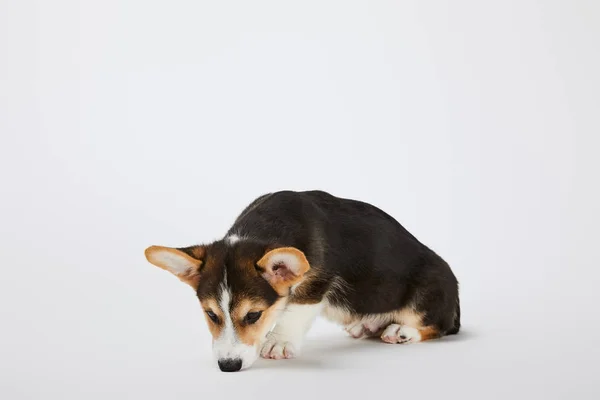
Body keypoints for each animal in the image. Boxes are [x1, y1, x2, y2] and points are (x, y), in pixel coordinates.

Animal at [144, 191, 460, 372]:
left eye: (254, 315)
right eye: (211, 315)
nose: (228, 366)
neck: (260, 232)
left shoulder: (316, 281)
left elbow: (295, 309)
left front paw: (279, 343)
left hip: (429, 291)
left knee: (437, 326)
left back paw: (401, 331)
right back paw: (366, 324)